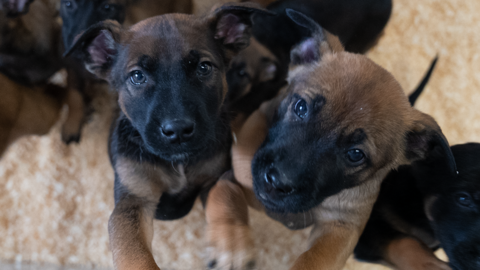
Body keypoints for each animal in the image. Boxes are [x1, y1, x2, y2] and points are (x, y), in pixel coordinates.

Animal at [65, 3, 272, 268]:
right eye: (137, 76)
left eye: (204, 67)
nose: (178, 131)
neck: (178, 161)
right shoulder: (133, 200)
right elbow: (131, 248)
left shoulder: (219, 174)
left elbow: (227, 192)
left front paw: (232, 242)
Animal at [204, 9, 456, 270]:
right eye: (300, 107)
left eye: (355, 154)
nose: (277, 182)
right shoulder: (236, 177)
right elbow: (225, 191)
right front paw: (232, 245)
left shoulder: (342, 228)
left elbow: (316, 258)